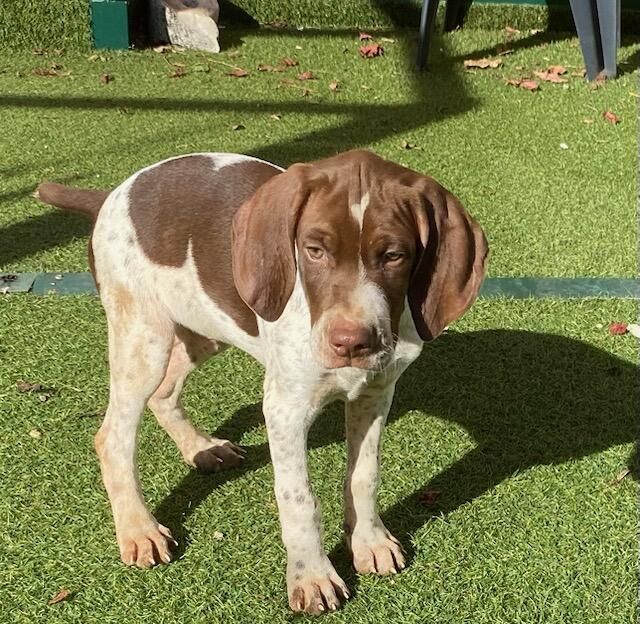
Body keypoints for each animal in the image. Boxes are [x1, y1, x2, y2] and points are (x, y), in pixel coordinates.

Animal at [36, 150, 484, 616]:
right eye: (314, 251)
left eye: (395, 255)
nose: (350, 342)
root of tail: (114, 192)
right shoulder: (286, 408)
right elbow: (298, 498)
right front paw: (312, 575)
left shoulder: (376, 393)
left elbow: (364, 475)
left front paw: (369, 541)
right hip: (142, 338)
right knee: (113, 436)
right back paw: (138, 528)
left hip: (206, 326)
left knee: (164, 392)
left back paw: (202, 448)